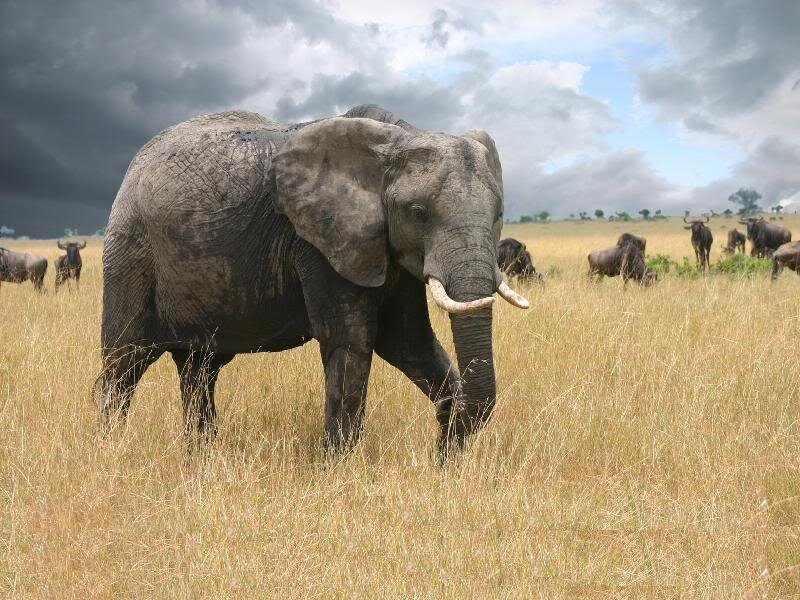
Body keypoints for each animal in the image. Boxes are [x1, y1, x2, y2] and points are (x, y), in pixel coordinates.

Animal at [97, 104, 530, 457]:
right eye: (418, 212)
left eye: (498, 215)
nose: (440, 449)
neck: (398, 137)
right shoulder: (317, 242)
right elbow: (352, 341)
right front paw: (339, 467)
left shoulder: (385, 247)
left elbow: (408, 341)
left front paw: (447, 455)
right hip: (131, 251)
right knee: (124, 363)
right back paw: (111, 449)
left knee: (200, 369)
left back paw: (202, 456)